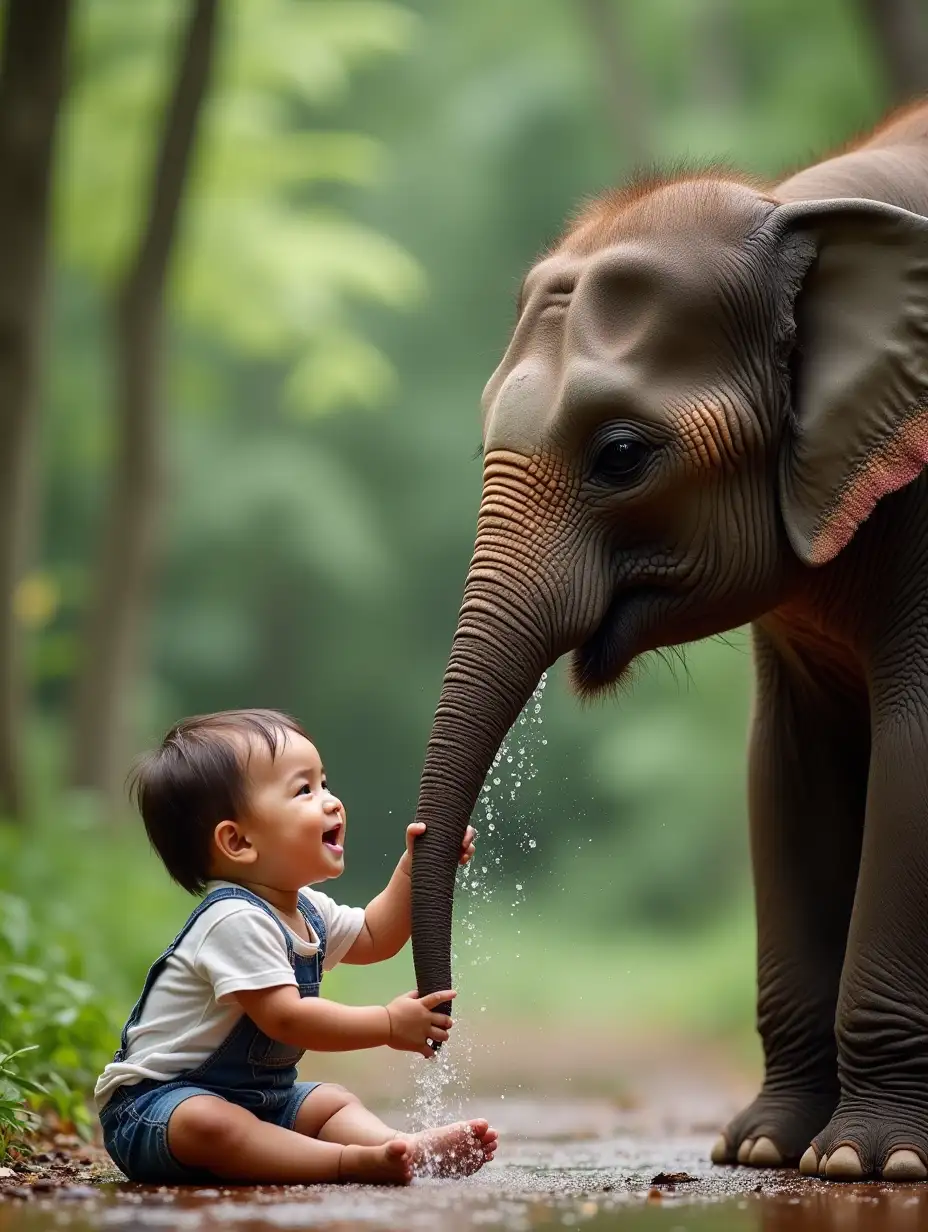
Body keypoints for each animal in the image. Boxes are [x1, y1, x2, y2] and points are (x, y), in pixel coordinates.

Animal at [411, 103, 928, 1182]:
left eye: (620, 455)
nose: (437, 1032)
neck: (801, 207)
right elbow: (786, 772)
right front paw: (762, 1147)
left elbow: (913, 751)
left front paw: (869, 1164)